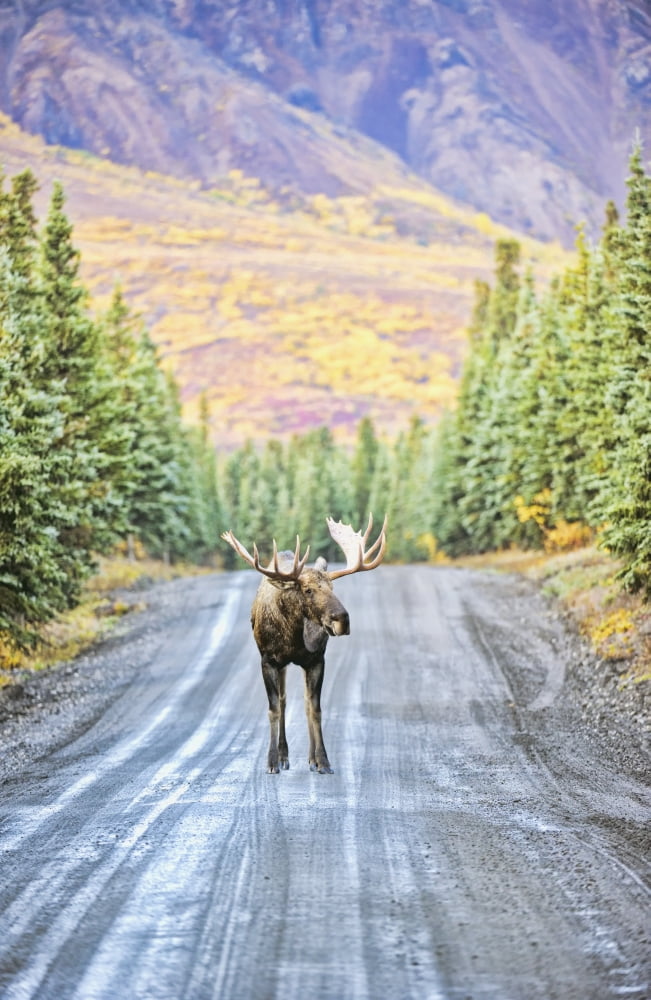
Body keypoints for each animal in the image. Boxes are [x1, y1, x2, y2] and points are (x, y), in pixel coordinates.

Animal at [221, 514, 387, 774]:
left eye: (332, 587)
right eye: (308, 590)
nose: (342, 619)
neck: (293, 637)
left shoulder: (317, 659)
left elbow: (315, 709)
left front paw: (323, 761)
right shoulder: (268, 660)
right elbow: (274, 709)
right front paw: (271, 762)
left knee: (304, 702)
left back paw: (310, 758)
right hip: (280, 664)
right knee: (283, 700)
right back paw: (283, 755)